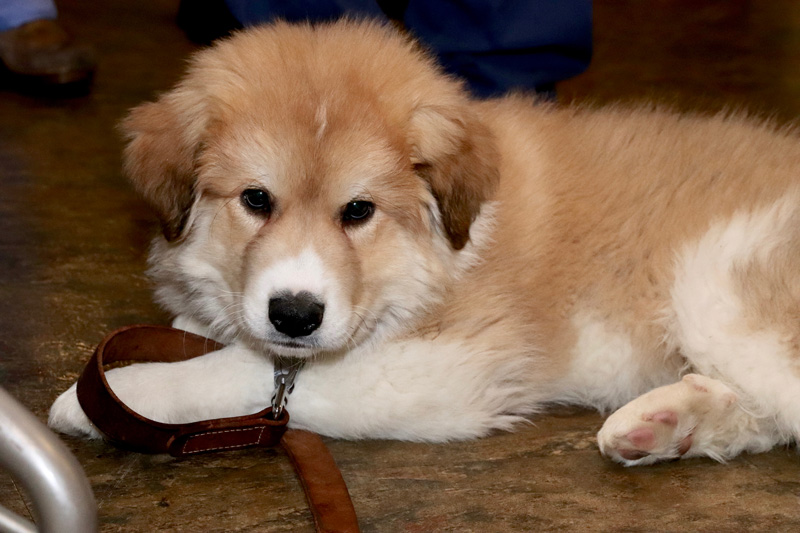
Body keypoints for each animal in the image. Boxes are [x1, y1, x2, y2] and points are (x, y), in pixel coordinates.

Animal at [48, 18, 800, 464]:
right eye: (256, 200)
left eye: (359, 211)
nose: (295, 315)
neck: (436, 251)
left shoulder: (443, 366)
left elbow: (241, 372)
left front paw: (106, 396)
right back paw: (664, 423)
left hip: (718, 285)